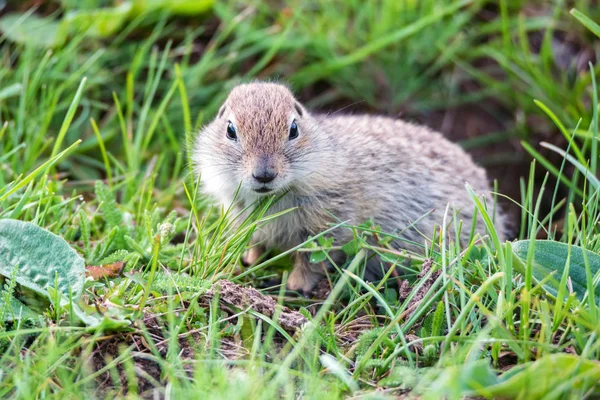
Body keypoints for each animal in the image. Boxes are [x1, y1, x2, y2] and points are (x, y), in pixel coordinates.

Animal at [193, 81, 506, 294]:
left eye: (293, 129)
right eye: (230, 130)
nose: (264, 174)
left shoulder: (328, 224)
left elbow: (312, 259)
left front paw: (295, 286)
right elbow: (256, 243)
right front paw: (247, 261)